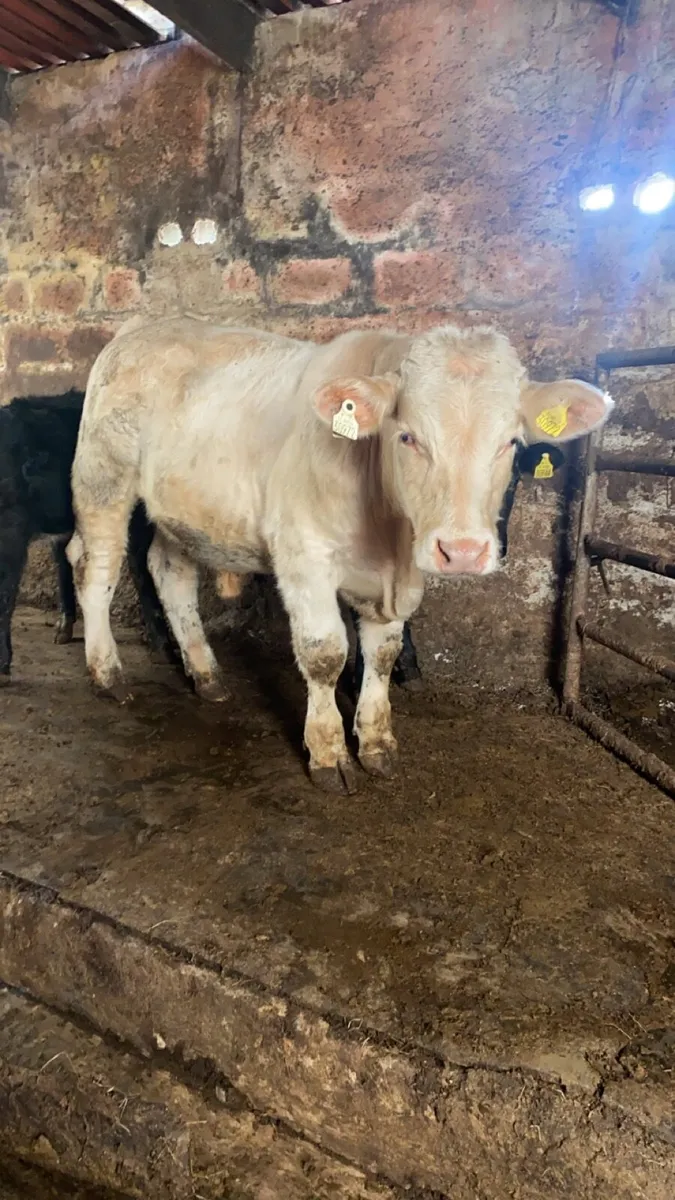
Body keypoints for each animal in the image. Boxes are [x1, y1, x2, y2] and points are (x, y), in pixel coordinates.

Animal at [67, 317, 613, 792]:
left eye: (511, 443)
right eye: (408, 436)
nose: (461, 551)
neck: (387, 540)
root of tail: (145, 325)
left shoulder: (401, 580)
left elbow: (383, 654)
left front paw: (376, 742)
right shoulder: (303, 558)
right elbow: (325, 653)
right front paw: (327, 752)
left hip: (184, 511)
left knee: (170, 572)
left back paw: (206, 674)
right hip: (102, 478)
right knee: (96, 568)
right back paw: (107, 672)